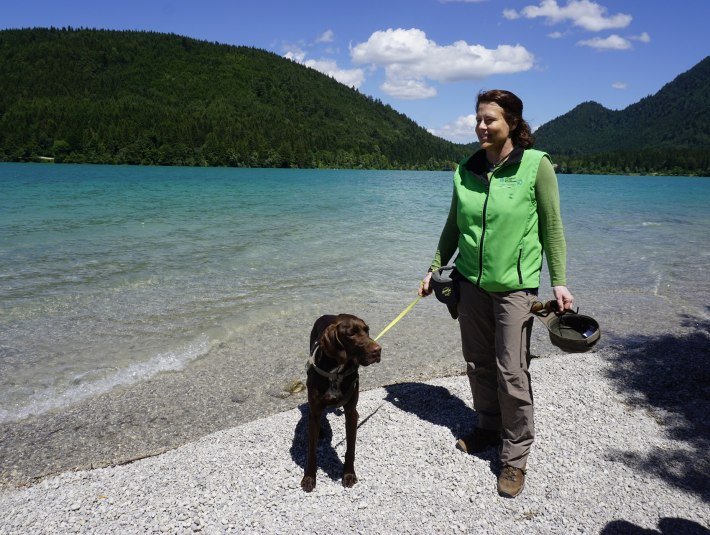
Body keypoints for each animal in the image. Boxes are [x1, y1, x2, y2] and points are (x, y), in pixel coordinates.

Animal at [304, 314, 386, 494]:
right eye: (351, 334)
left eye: (367, 330)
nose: (378, 350)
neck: (336, 371)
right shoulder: (314, 412)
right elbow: (311, 451)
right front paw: (309, 478)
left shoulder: (351, 413)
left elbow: (350, 449)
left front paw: (348, 474)